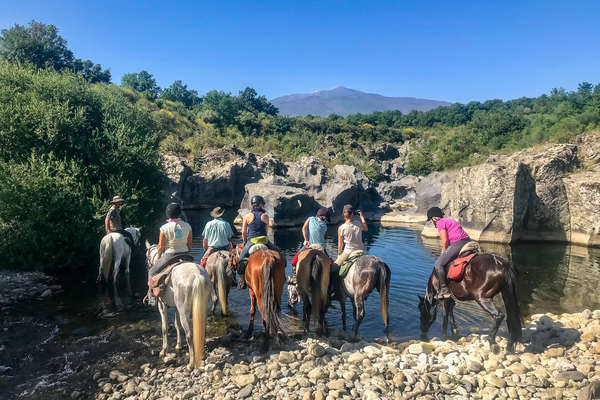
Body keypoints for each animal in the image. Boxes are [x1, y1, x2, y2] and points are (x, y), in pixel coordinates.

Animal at [144, 242, 212, 370]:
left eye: (147, 256)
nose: (148, 265)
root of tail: (196, 275)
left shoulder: (162, 305)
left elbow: (164, 327)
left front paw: (163, 350)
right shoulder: (176, 307)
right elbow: (176, 325)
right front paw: (178, 345)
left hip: (183, 312)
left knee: (189, 334)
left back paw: (191, 364)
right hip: (200, 308)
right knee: (202, 328)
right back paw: (202, 354)